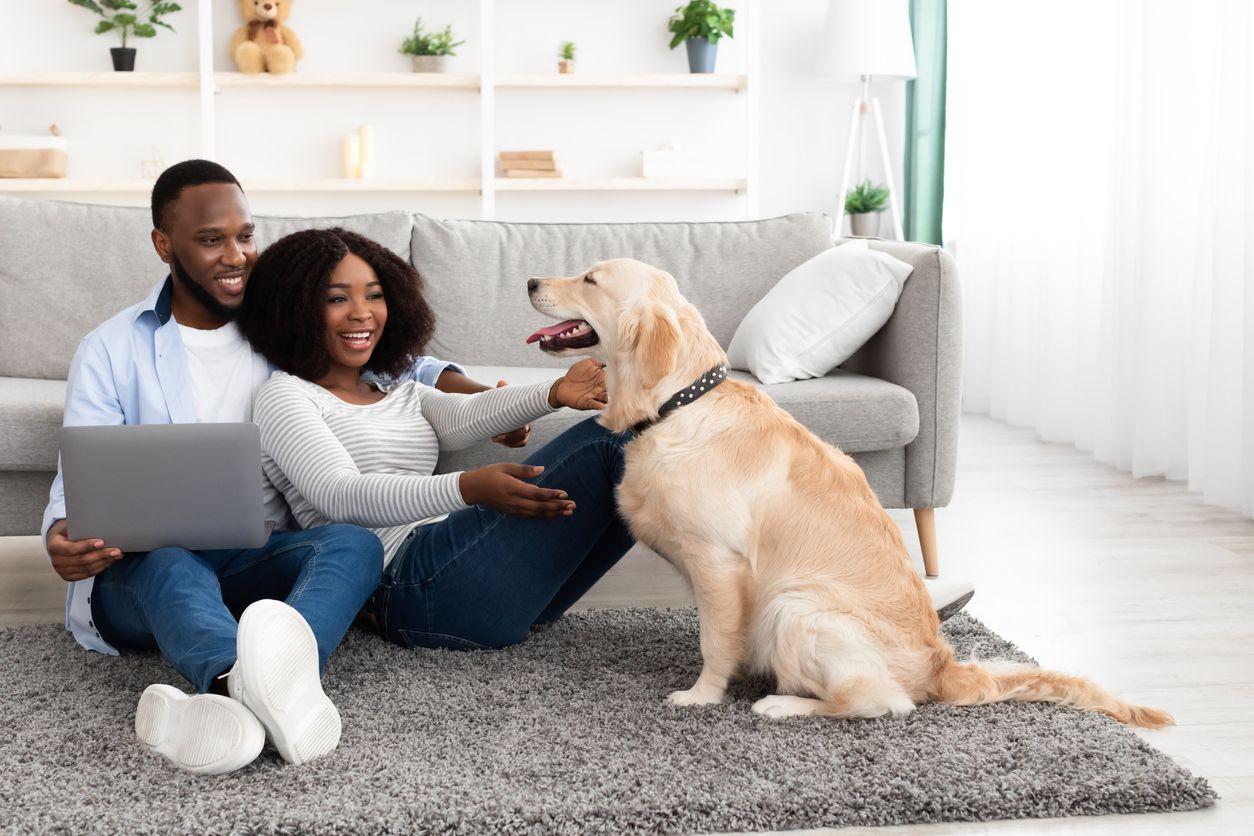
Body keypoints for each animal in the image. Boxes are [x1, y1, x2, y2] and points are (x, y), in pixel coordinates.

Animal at [524, 258, 1168, 726]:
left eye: (590, 279)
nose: (530, 280)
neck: (678, 405)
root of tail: (943, 666)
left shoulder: (718, 560)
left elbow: (715, 639)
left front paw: (702, 695)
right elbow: (724, 634)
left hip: (795, 606)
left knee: (882, 702)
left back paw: (782, 703)